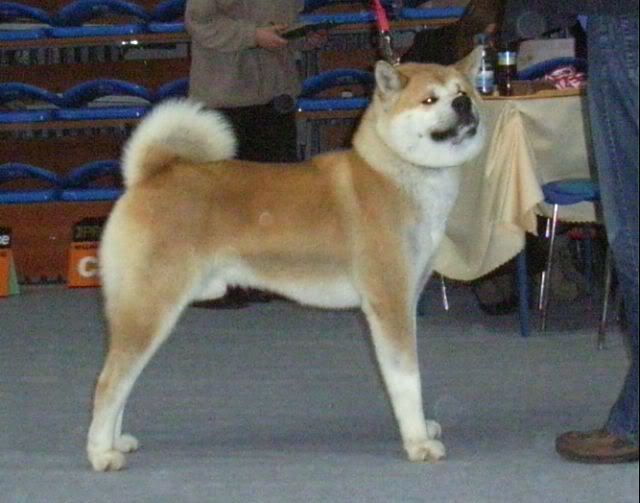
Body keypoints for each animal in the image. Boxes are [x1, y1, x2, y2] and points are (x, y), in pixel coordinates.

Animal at [87, 49, 485, 471]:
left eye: (462, 92)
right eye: (429, 99)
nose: (463, 105)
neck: (397, 175)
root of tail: (149, 177)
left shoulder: (407, 301)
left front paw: (422, 429)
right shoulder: (389, 303)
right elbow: (407, 381)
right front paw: (418, 443)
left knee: (122, 381)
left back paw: (116, 440)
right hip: (151, 305)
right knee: (109, 382)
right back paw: (100, 453)